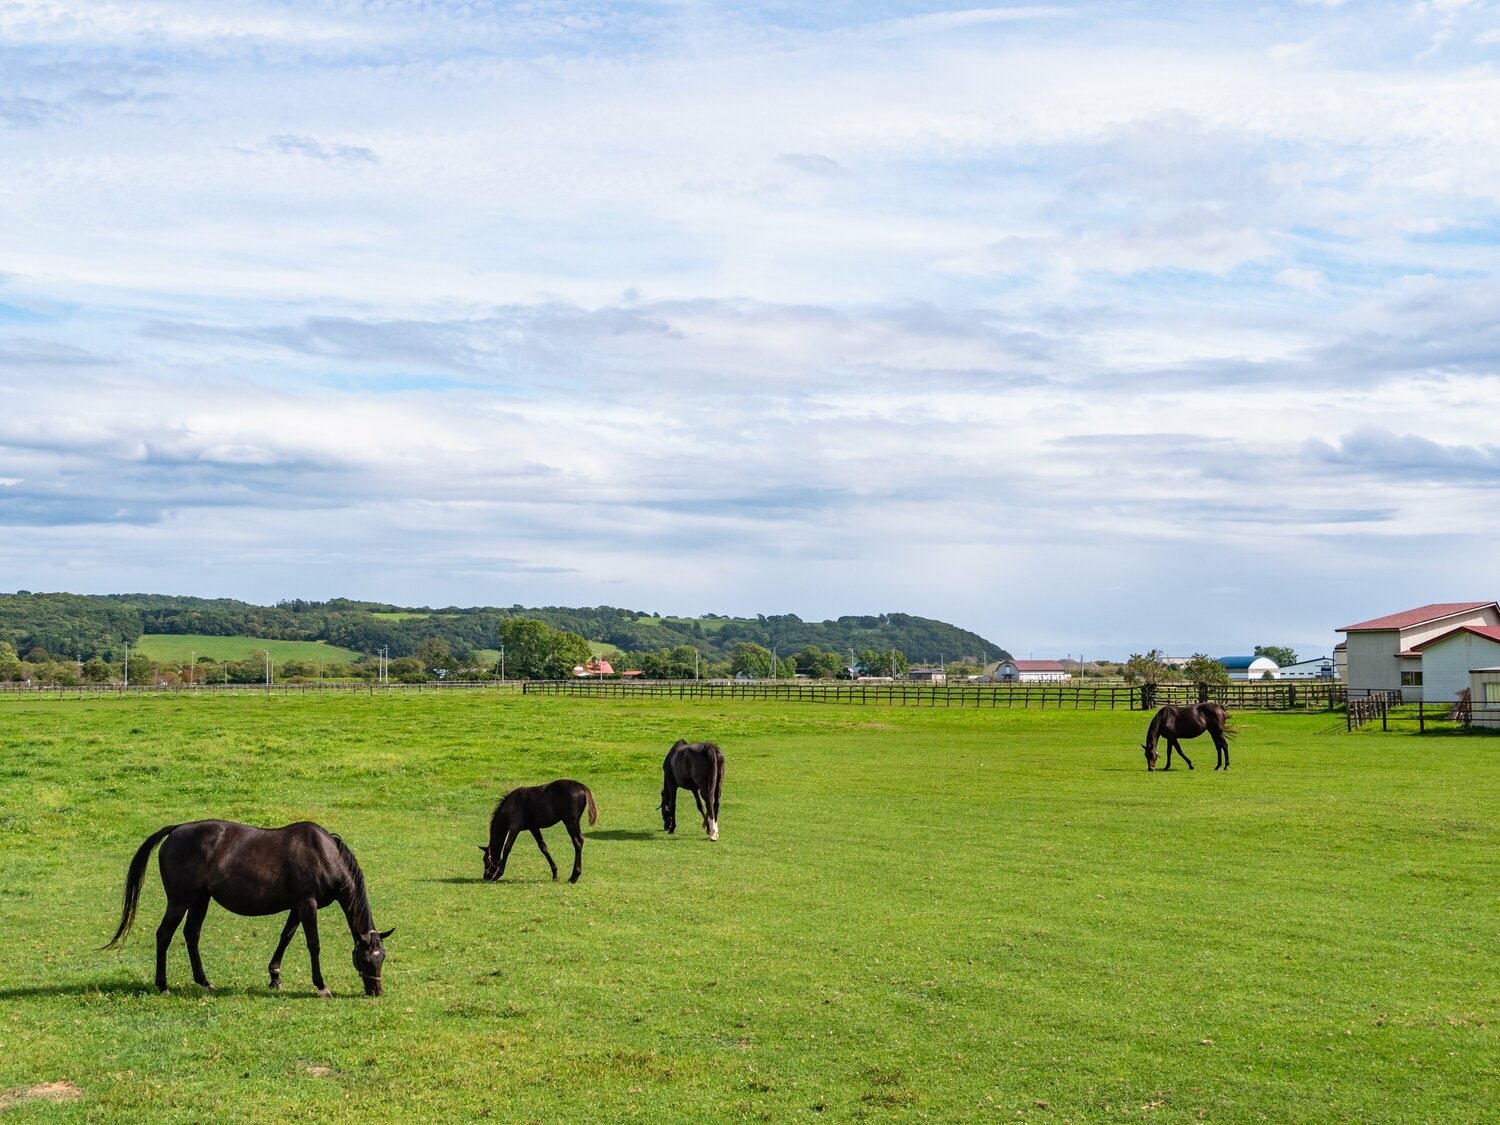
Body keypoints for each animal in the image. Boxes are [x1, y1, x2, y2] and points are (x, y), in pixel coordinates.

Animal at [105, 820, 393, 997]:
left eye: (382, 956)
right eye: (366, 958)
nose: (376, 992)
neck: (325, 855)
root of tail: (176, 830)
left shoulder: (297, 907)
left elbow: (286, 937)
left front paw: (275, 977)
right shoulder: (307, 904)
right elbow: (313, 944)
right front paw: (321, 986)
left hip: (200, 899)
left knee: (191, 935)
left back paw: (204, 982)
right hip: (180, 900)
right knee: (164, 935)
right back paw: (162, 985)